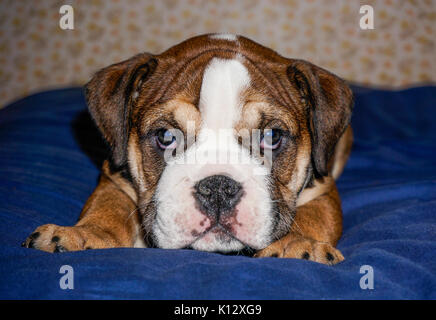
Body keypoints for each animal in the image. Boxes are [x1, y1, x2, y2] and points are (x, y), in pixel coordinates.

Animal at [22, 34, 352, 264]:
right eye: (166, 137)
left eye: (272, 136)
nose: (218, 187)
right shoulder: (114, 177)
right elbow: (107, 207)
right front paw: (85, 234)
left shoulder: (322, 188)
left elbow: (313, 216)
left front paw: (297, 244)